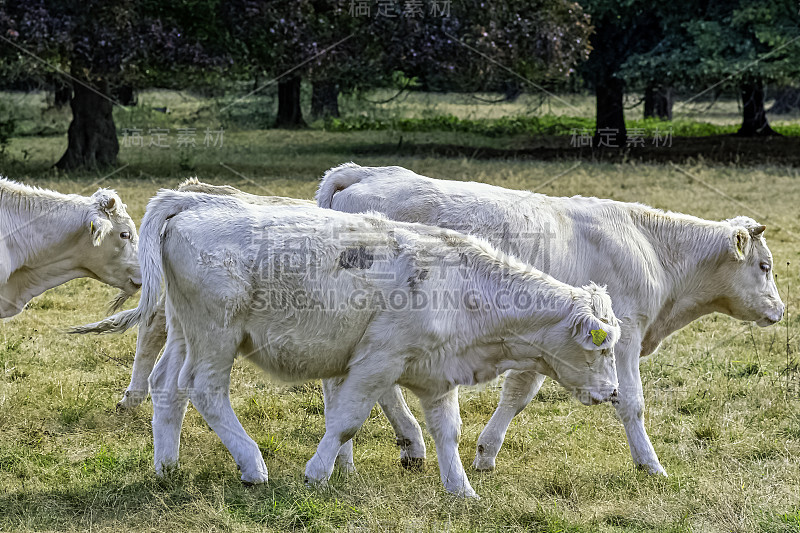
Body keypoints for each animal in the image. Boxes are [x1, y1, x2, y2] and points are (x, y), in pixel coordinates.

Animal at [87, 189, 620, 496]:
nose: (613, 391)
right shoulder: (377, 363)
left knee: (167, 387)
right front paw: (318, 472)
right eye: (602, 347)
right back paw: (253, 465)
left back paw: (167, 466)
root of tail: (193, 201)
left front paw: (461, 489)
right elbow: (345, 422)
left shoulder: (437, 375)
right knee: (205, 390)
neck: (460, 284)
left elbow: (447, 432)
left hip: (185, 332)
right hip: (217, 335)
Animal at [316, 162, 784, 474]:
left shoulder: (549, 339)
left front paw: (486, 453)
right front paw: (651, 465)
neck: (650, 248)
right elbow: (631, 403)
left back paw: (393, 447)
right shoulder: (623, 336)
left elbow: (518, 394)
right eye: (765, 266)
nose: (780, 310)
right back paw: (371, 452)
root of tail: (362, 172)